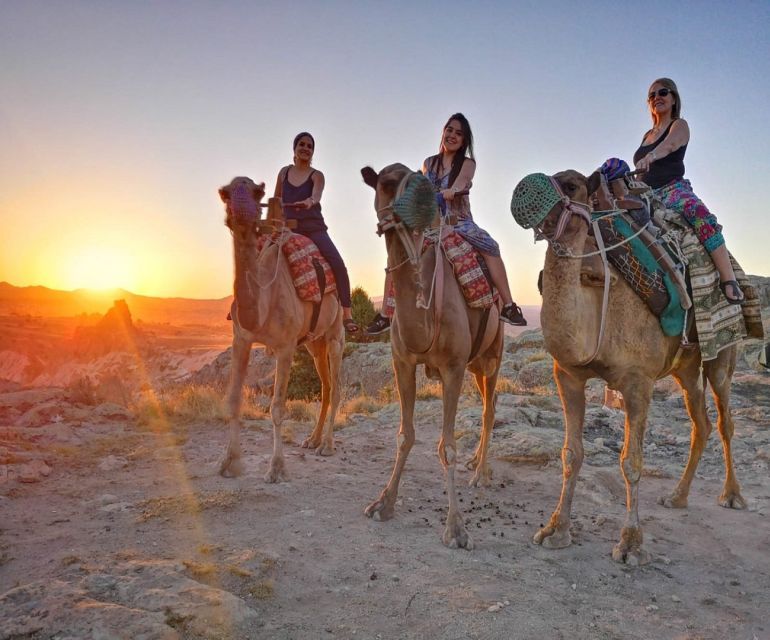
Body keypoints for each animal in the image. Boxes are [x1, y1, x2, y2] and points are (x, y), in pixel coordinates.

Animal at [219, 175, 344, 480]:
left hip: (335, 333)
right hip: (313, 343)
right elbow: (234, 400)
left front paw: (277, 468)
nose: (241, 211)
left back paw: (327, 445)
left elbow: (277, 407)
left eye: (257, 192)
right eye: (225, 193)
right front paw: (230, 462)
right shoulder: (241, 339)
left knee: (335, 387)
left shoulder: (285, 347)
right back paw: (312, 439)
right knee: (325, 385)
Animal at [362, 162, 504, 548]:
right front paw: (383, 502)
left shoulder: (453, 367)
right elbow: (405, 435)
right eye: (385, 182)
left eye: (419, 176)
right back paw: (476, 463)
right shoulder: (403, 361)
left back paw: (481, 473)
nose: (426, 200)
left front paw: (456, 528)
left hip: (492, 355)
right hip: (475, 365)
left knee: (489, 409)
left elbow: (447, 446)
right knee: (486, 404)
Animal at [516, 171, 744, 564]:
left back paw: (731, 496)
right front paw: (555, 530)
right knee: (701, 422)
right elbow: (571, 453)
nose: (526, 192)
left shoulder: (639, 381)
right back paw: (677, 496)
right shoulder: (568, 374)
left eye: (572, 185)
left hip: (721, 355)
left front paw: (631, 544)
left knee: (725, 420)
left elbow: (631, 462)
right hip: (686, 367)